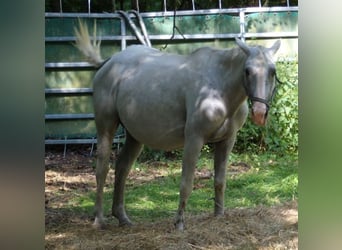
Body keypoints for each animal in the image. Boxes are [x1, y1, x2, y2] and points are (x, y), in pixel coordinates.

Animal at [75, 20, 280, 229]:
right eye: (247, 71)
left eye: (273, 71)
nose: (260, 113)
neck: (219, 88)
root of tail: (109, 62)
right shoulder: (194, 139)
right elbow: (186, 183)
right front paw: (179, 222)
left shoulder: (227, 140)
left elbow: (220, 181)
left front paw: (219, 215)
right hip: (106, 127)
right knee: (102, 169)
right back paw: (99, 219)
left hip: (134, 135)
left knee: (122, 168)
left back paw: (122, 217)